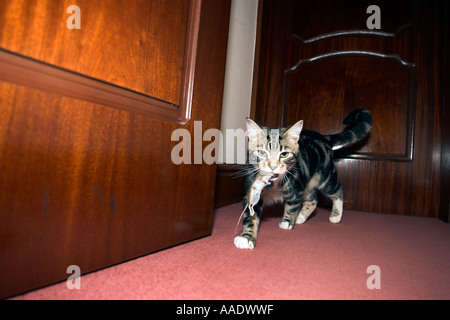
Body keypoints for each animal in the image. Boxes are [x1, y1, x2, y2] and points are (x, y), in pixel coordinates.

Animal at [234, 110, 370, 250]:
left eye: (284, 154)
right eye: (262, 152)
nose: (272, 166)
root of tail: (323, 137)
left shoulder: (297, 186)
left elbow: (293, 205)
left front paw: (287, 221)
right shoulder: (252, 187)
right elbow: (250, 214)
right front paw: (246, 237)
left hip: (324, 176)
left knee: (337, 191)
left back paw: (336, 215)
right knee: (313, 200)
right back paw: (301, 217)